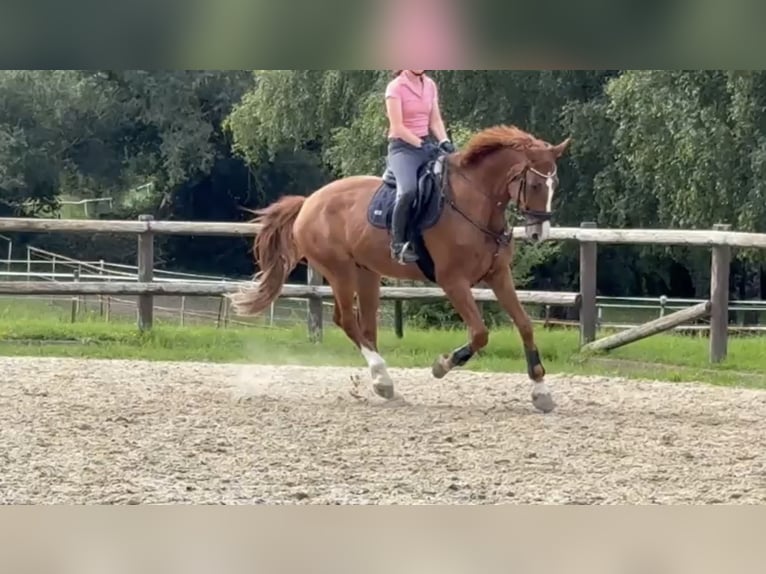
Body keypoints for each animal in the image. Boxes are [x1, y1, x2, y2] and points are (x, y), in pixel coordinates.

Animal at [228, 124, 571, 413]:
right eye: (536, 183)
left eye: (555, 183)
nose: (539, 234)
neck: (476, 204)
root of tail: (309, 201)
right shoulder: (453, 281)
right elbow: (480, 333)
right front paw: (443, 365)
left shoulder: (499, 276)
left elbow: (524, 325)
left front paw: (541, 391)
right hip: (340, 271)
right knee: (346, 320)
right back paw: (383, 380)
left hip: (367, 273)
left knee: (365, 327)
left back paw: (383, 384)